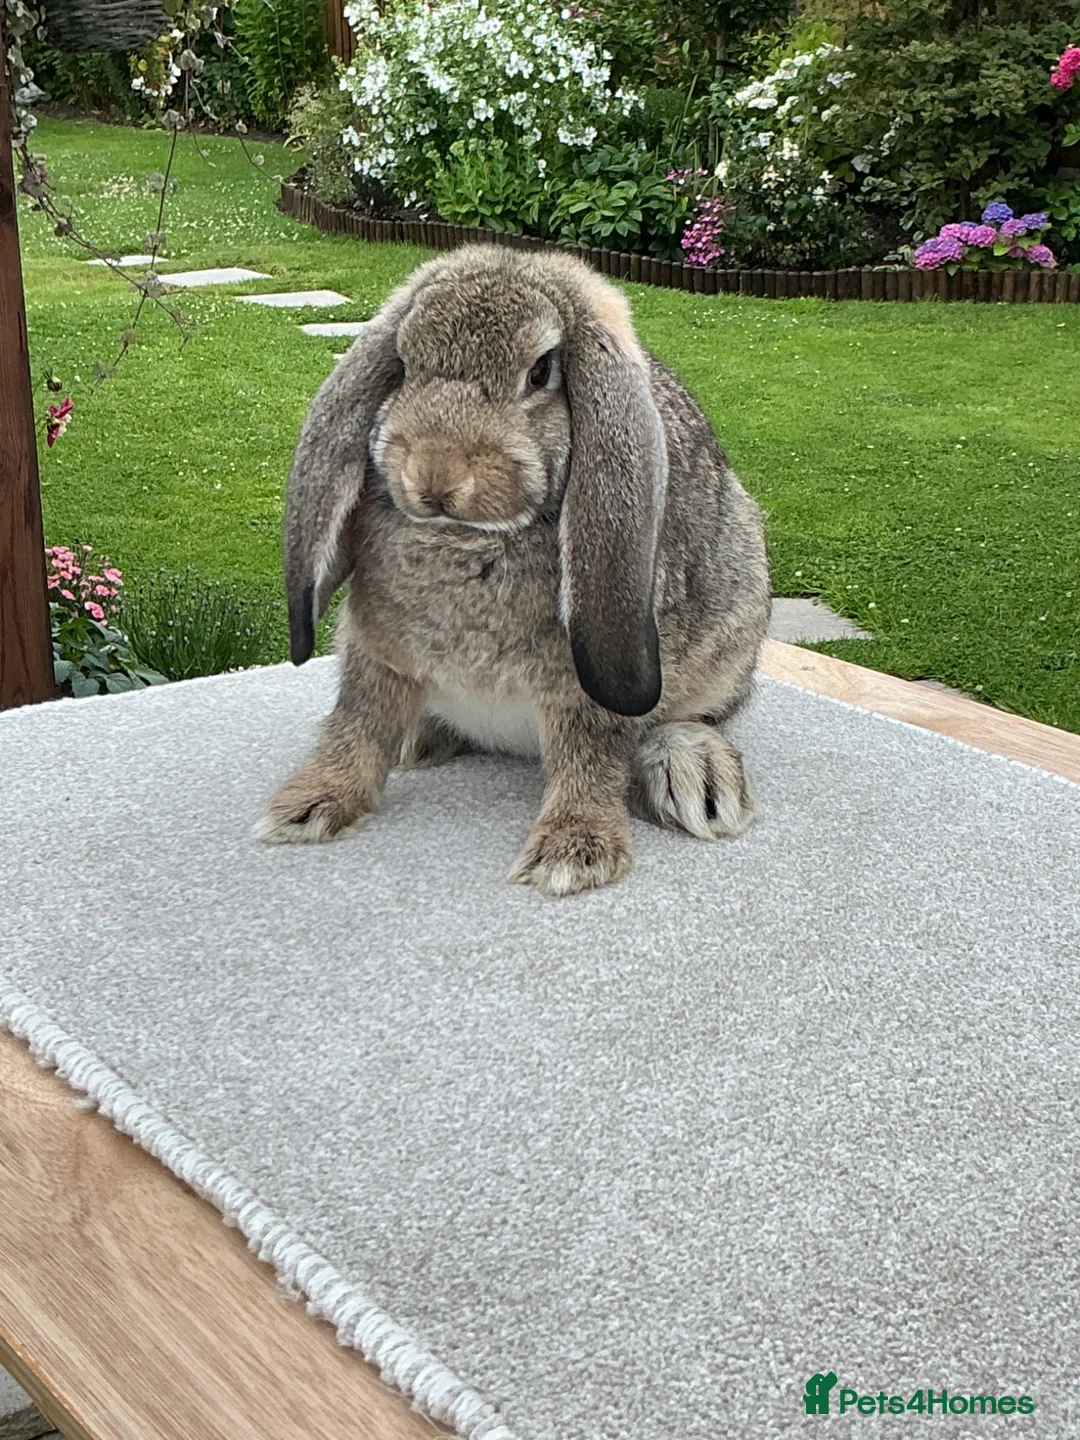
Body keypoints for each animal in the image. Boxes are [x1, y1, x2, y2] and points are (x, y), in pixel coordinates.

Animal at [254, 245, 771, 896]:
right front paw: (305, 807)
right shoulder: (377, 654)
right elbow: (358, 723)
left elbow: (590, 760)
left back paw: (697, 776)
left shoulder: (585, 686)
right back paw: (419, 738)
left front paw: (572, 855)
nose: (435, 476)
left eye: (540, 372)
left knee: (699, 717)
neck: (470, 540)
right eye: (404, 364)